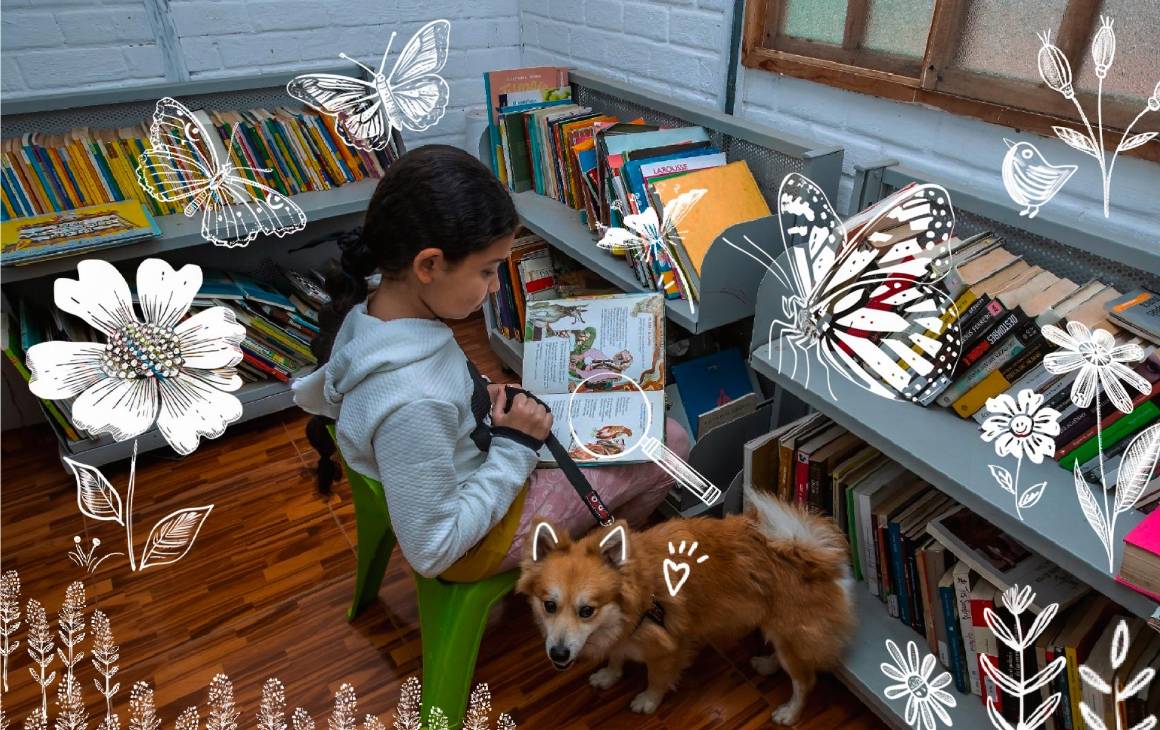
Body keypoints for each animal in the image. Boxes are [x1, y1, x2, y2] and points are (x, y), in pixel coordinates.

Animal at [522, 489, 858, 724]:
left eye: (586, 611)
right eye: (549, 605)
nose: (558, 654)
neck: (637, 602)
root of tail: (814, 557)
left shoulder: (666, 649)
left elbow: (657, 680)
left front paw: (647, 701)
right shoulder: (622, 636)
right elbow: (617, 656)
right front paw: (609, 675)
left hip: (792, 635)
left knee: (804, 681)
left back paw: (789, 712)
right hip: (781, 633)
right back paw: (767, 664)